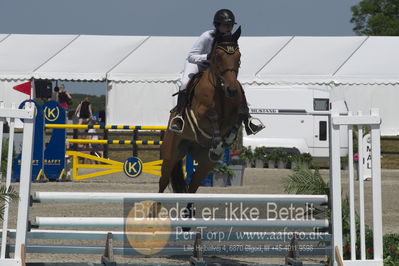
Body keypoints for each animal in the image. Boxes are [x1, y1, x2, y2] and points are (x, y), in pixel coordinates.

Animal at [159, 27, 244, 195]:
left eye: (238, 56)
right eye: (218, 57)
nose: (232, 90)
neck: (220, 89)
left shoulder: (235, 112)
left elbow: (239, 116)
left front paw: (227, 140)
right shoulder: (200, 114)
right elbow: (212, 115)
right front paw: (218, 141)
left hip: (205, 164)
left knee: (192, 187)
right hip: (170, 155)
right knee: (162, 182)